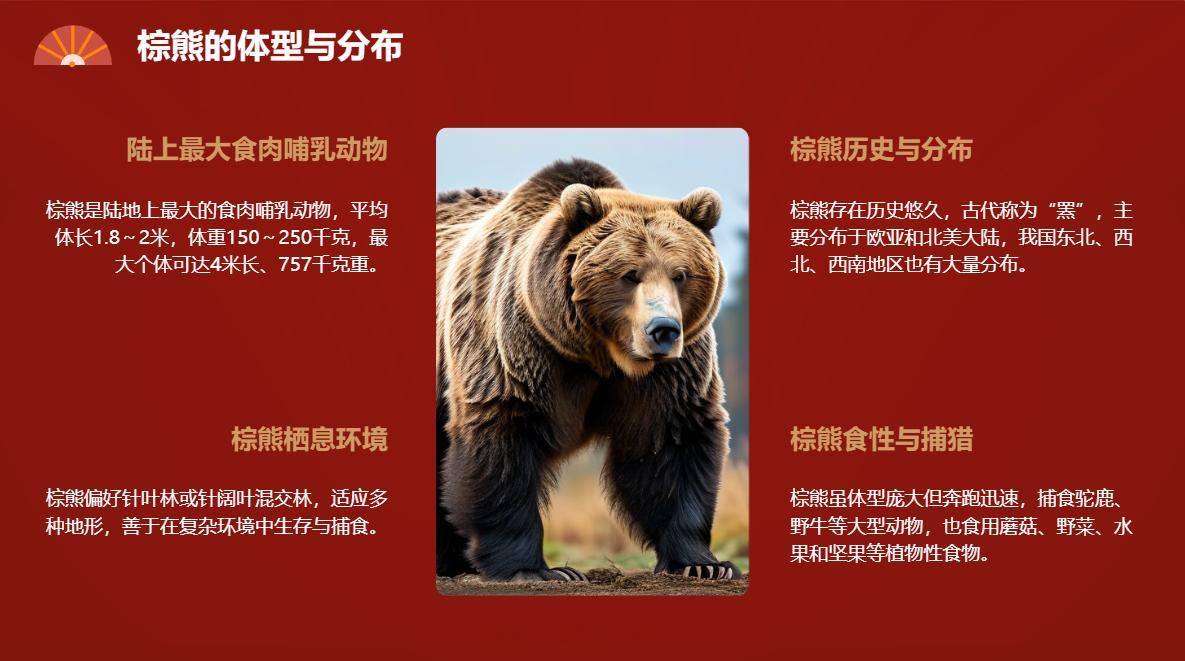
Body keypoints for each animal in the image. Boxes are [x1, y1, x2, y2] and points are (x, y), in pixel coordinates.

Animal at [436, 158, 739, 582]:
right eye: (630, 274)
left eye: (681, 274)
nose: (663, 330)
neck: (601, 354)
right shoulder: (517, 348)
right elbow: (502, 440)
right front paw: (535, 569)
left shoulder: (668, 375)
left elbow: (670, 441)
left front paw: (703, 563)